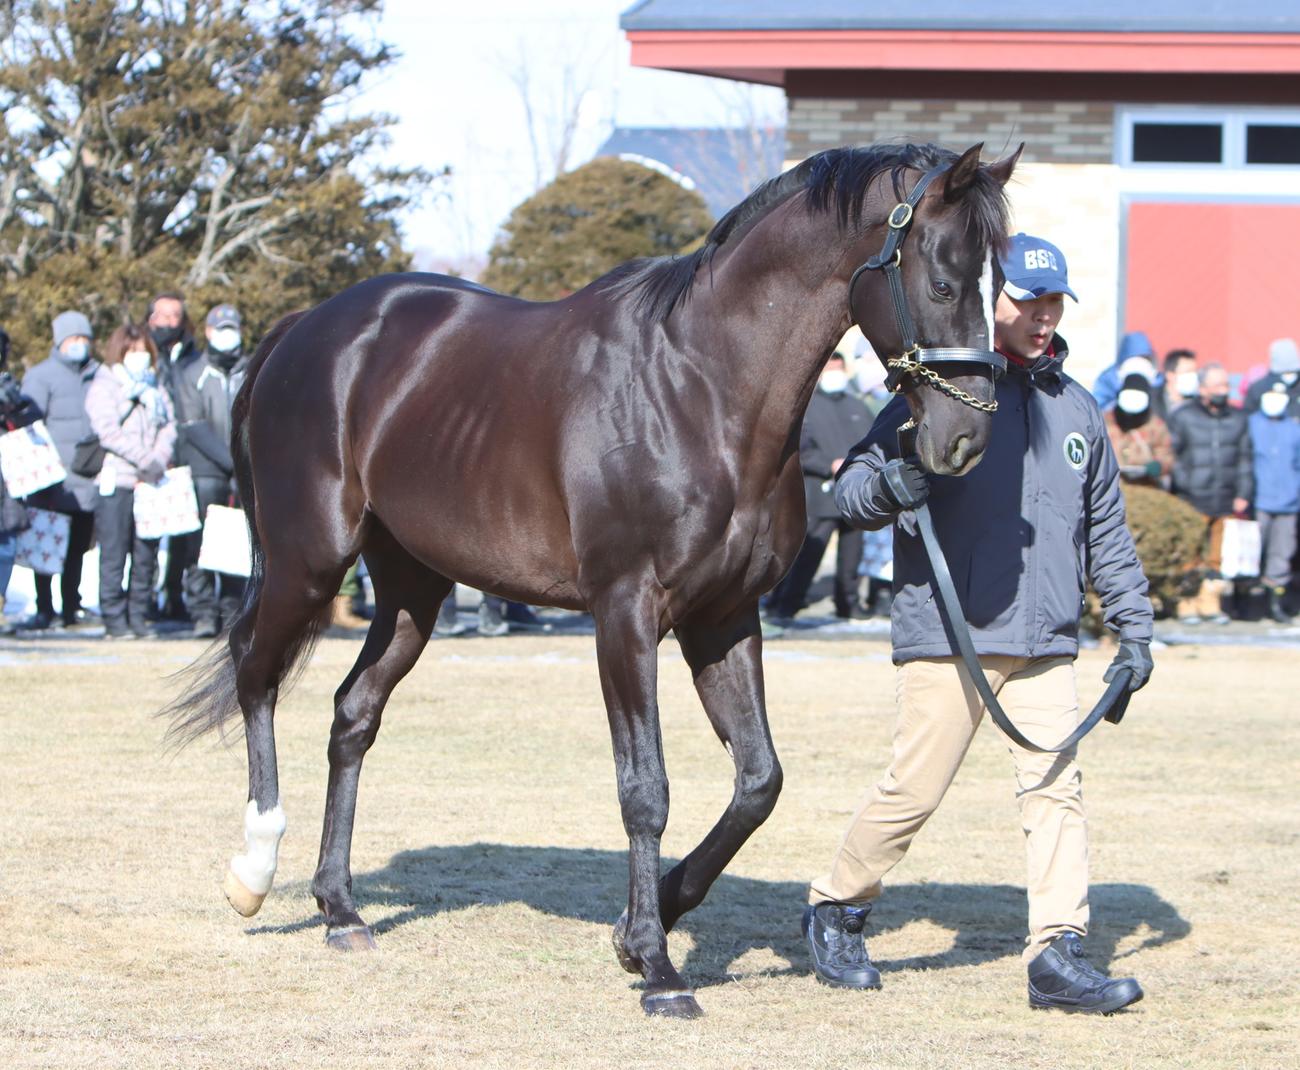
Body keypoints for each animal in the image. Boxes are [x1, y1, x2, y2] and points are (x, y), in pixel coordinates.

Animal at [164, 141, 1018, 1019]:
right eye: (944, 283)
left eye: (1002, 287)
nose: (964, 439)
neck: (702, 386)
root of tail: (304, 330)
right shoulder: (625, 613)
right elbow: (645, 788)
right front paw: (658, 967)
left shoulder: (725, 617)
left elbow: (759, 780)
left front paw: (651, 919)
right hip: (308, 561)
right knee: (255, 672)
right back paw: (254, 870)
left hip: (411, 592)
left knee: (352, 714)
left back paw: (339, 909)